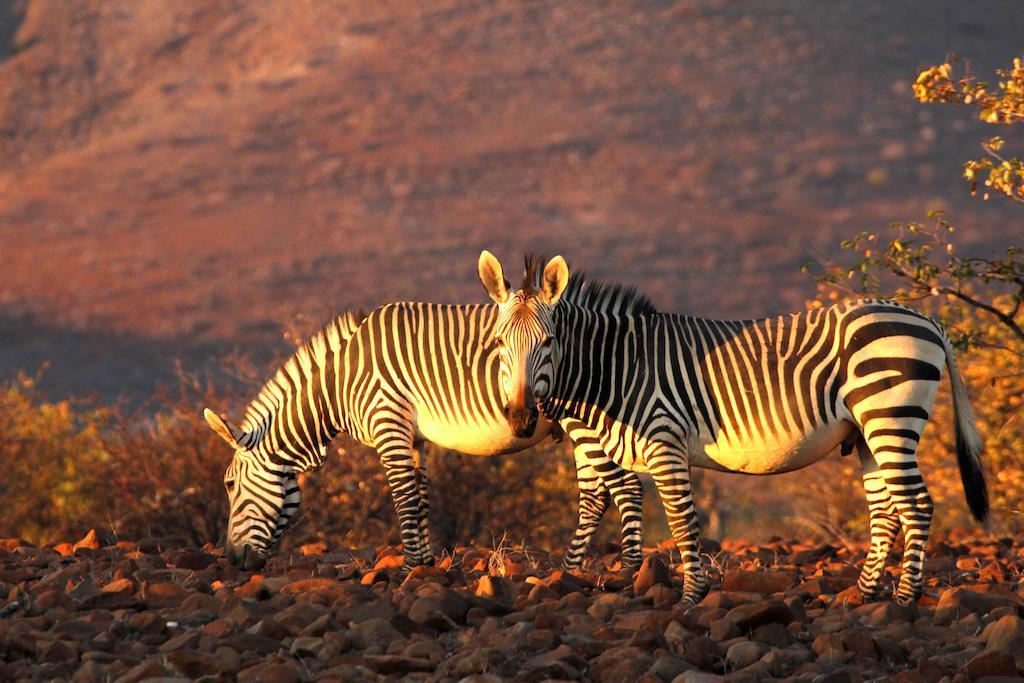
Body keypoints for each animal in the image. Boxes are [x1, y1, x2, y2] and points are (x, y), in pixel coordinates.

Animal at [201, 266, 647, 573]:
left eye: (229, 484)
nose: (232, 559)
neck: (342, 382)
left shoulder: (387, 422)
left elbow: (403, 498)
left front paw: (409, 567)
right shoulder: (412, 438)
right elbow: (422, 498)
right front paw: (427, 564)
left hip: (593, 420)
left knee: (623, 487)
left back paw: (626, 570)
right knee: (595, 495)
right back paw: (571, 569)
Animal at [483, 252, 987, 602]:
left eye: (549, 341)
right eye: (499, 343)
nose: (521, 417)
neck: (620, 366)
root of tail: (926, 319)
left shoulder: (665, 440)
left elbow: (682, 521)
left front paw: (692, 596)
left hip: (890, 417)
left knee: (916, 505)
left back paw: (905, 598)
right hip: (865, 433)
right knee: (885, 510)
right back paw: (863, 595)